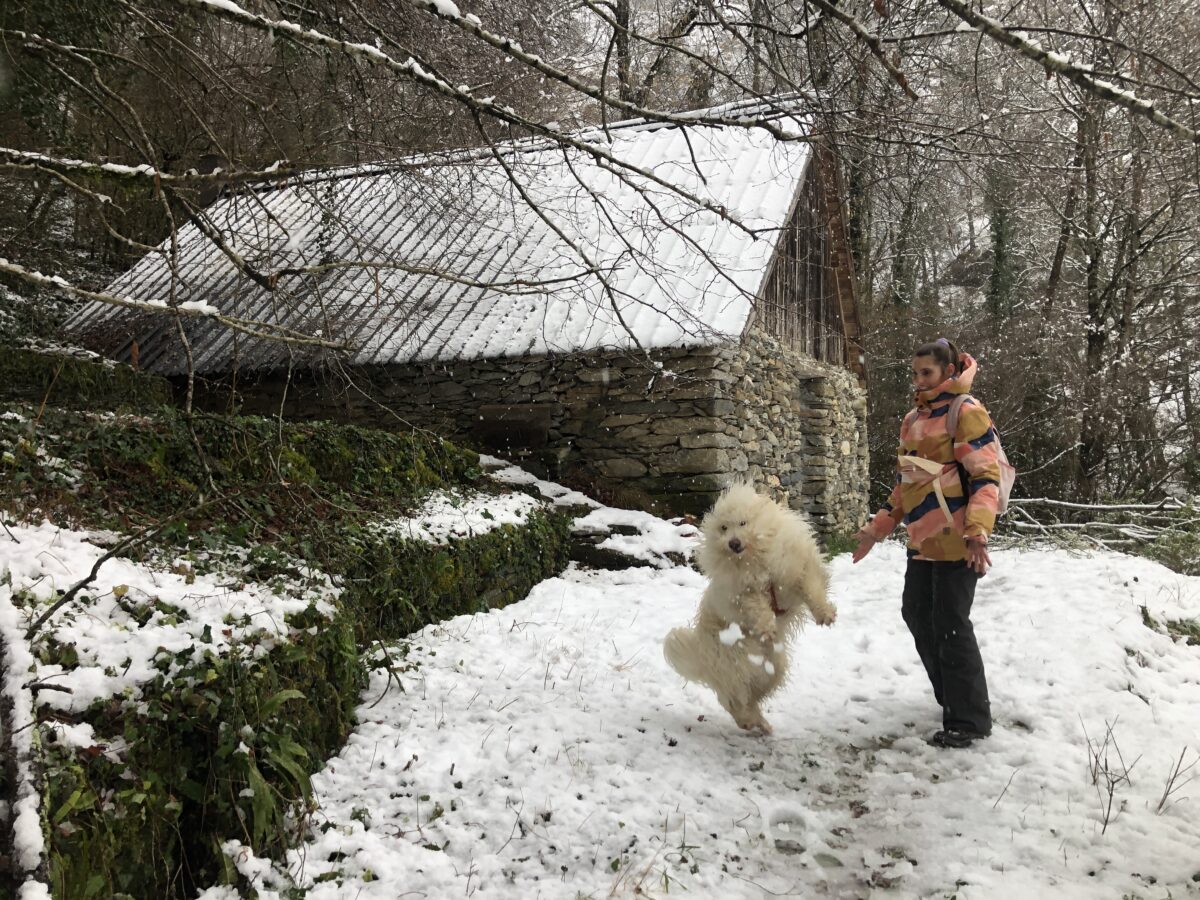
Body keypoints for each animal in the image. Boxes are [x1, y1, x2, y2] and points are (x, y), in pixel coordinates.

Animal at [667, 487, 835, 734]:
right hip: (735, 664)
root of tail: (702, 653)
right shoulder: (743, 593)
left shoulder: (796, 570)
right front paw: (766, 626)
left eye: (743, 523)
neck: (754, 561)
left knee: (749, 697)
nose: (733, 543)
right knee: (733, 699)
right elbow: (756, 606)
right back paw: (748, 721)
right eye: (723, 528)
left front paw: (825, 614)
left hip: (772, 670)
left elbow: (812, 590)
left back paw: (760, 723)